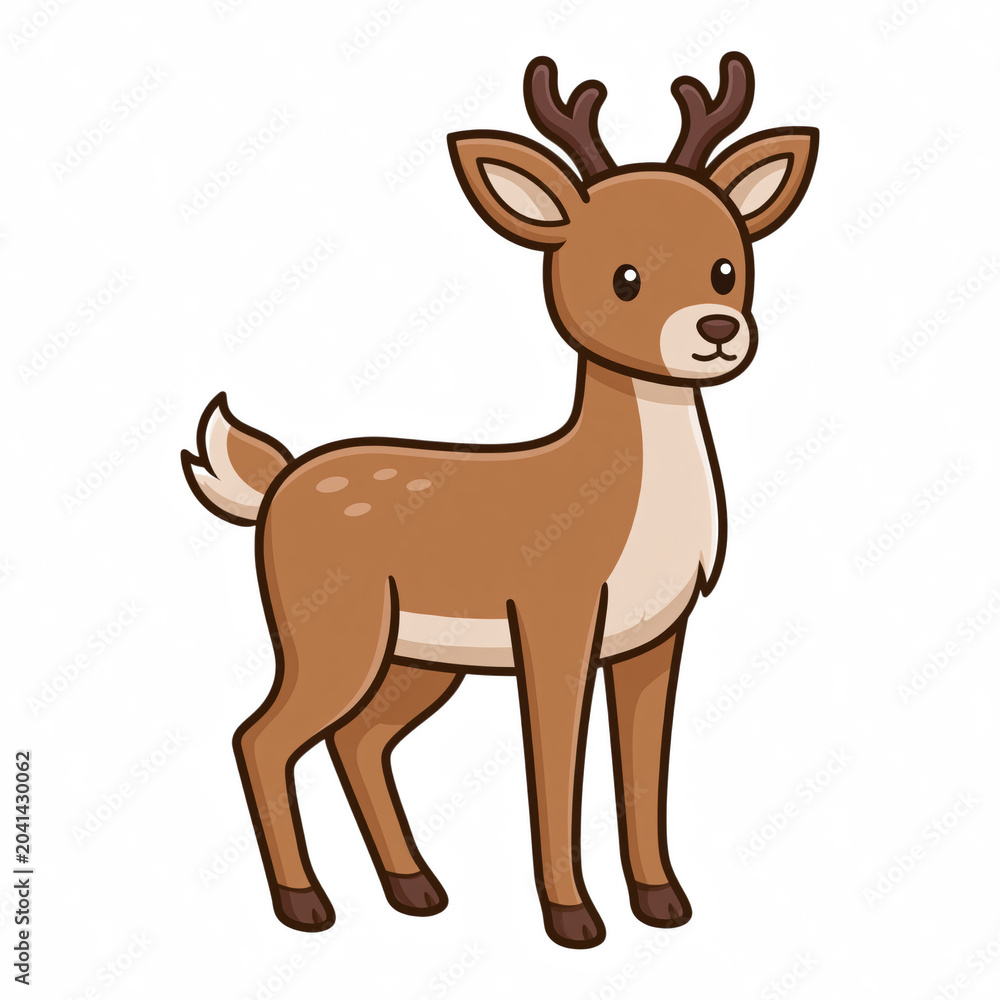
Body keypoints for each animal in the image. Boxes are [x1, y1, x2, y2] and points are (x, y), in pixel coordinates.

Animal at [181, 51, 817, 949]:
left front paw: (663, 903)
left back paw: (415, 889)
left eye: (728, 267)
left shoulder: (657, 633)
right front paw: (573, 918)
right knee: (262, 736)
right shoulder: (553, 613)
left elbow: (643, 771)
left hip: (415, 657)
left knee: (359, 740)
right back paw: (306, 905)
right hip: (330, 629)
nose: (717, 328)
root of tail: (272, 485)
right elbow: (553, 767)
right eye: (625, 277)